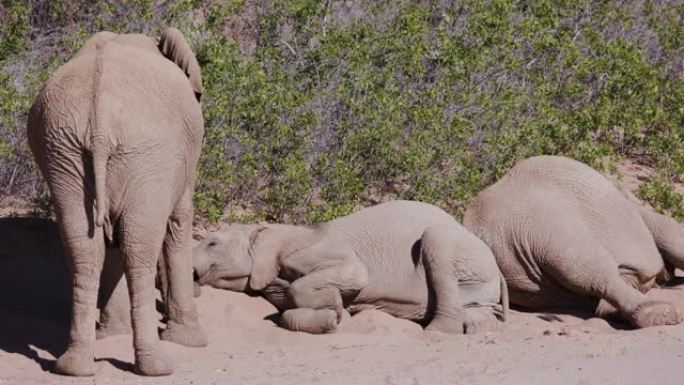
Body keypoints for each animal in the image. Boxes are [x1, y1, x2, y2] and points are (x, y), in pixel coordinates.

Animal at [26, 27, 207, 376]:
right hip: (146, 152)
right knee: (138, 249)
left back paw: (75, 366)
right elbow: (178, 223)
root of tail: (100, 123)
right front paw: (191, 341)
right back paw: (157, 366)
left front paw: (112, 333)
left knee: (86, 248)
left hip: (62, 150)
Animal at [192, 200, 508, 334]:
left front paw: (335, 307)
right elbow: (285, 311)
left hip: (458, 250)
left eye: (212, 243)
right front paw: (331, 317)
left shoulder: (322, 249)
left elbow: (354, 275)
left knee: (436, 240)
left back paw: (438, 331)